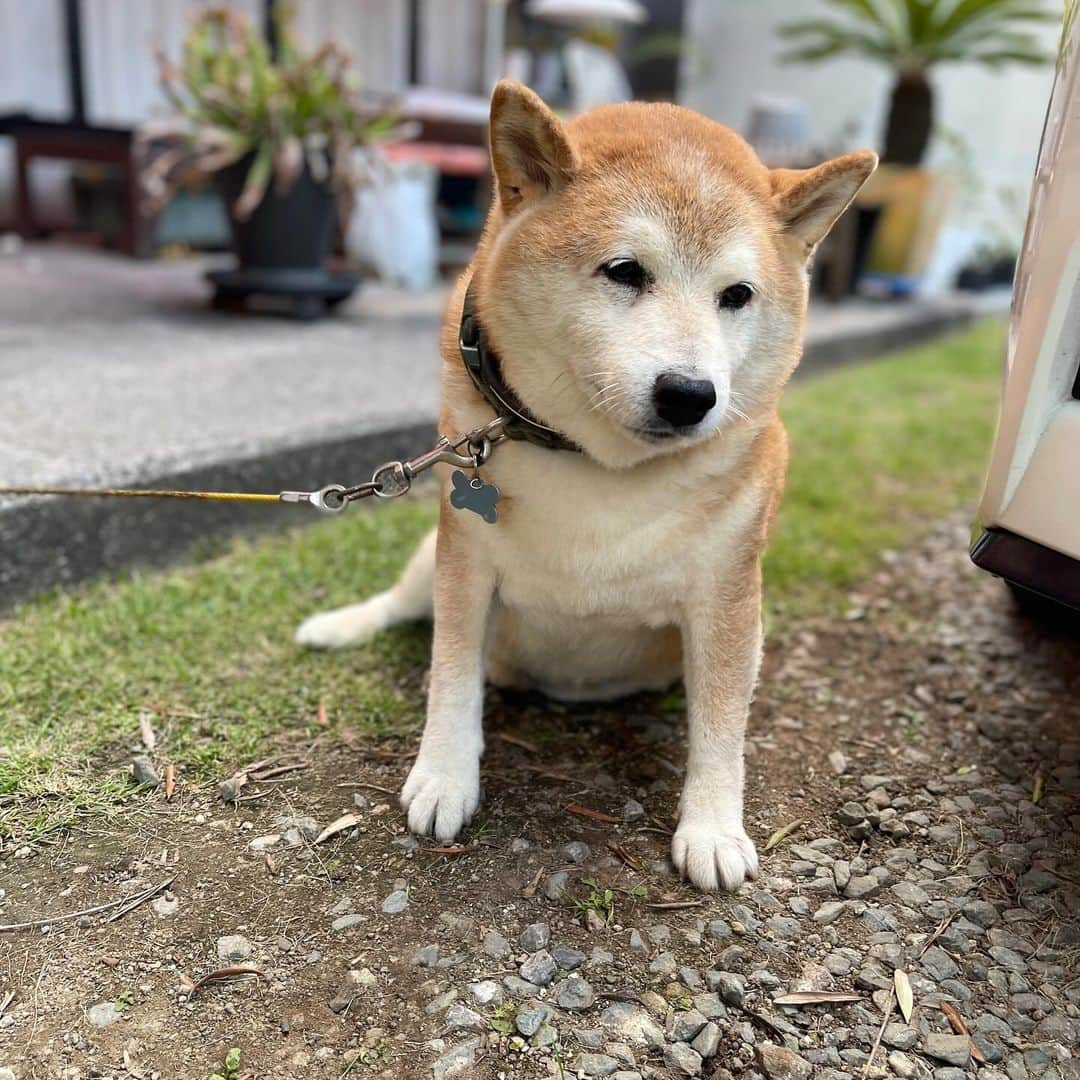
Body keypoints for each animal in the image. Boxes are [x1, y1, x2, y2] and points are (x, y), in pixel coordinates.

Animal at [298, 79, 876, 889]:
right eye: (625, 271)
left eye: (737, 295)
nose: (690, 395)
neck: (598, 466)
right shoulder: (465, 566)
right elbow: (451, 676)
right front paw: (444, 777)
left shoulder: (728, 598)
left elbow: (721, 727)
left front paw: (712, 827)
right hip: (429, 559)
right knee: (401, 608)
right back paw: (341, 625)